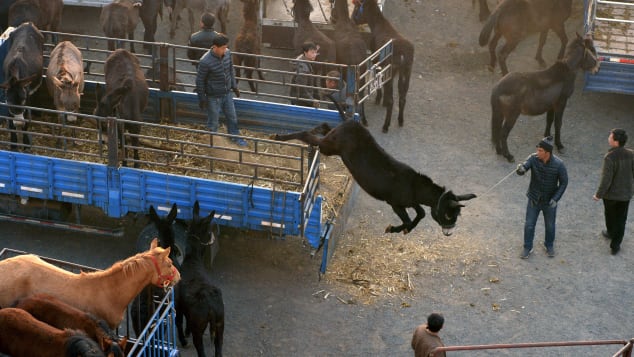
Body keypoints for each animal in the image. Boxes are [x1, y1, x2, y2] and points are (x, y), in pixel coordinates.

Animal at [175, 202, 225, 354]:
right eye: (208, 232)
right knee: (219, 347)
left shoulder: (178, 303)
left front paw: (184, 339)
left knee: (200, 348)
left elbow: (179, 321)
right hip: (220, 324)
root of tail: (211, 307)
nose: (213, 236)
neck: (192, 260)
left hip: (199, 326)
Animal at [272, 98, 474, 235]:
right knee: (308, 135)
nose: (449, 231)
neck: (414, 186)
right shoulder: (395, 203)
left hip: (332, 141)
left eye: (457, 216)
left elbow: (421, 213)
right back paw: (279, 137)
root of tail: (350, 122)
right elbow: (411, 217)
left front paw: (404, 229)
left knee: (324, 126)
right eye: (448, 215)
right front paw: (395, 228)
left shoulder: (411, 202)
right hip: (329, 147)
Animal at [350, 0, 414, 132]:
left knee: (392, 100)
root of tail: (402, 54)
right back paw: (400, 120)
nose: (352, 19)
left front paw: (379, 98)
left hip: (393, 68)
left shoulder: (376, 60)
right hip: (407, 70)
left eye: (357, 7)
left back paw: (385, 125)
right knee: (402, 97)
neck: (378, 24)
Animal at [488, 33, 596, 161]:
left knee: (497, 131)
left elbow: (549, 120)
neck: (566, 71)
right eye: (590, 50)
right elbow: (558, 123)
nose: (596, 64)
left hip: (500, 113)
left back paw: (499, 151)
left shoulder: (551, 104)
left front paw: (547, 138)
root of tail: (498, 88)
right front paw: (559, 145)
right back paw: (508, 155)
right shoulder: (561, 102)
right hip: (511, 115)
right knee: (503, 133)